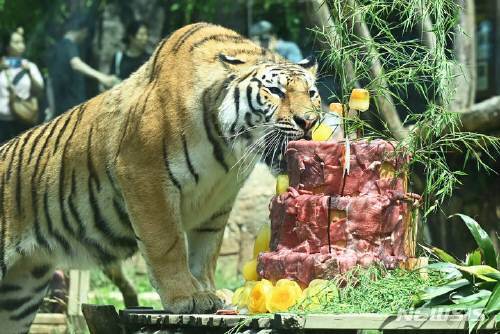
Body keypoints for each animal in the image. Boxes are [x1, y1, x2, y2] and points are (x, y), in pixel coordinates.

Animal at [0, 22, 320, 332]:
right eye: (275, 91)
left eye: (312, 93)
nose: (309, 121)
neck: (227, 149)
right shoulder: (144, 175)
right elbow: (168, 244)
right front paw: (186, 297)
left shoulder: (218, 201)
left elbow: (207, 251)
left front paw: (210, 291)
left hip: (19, 296)